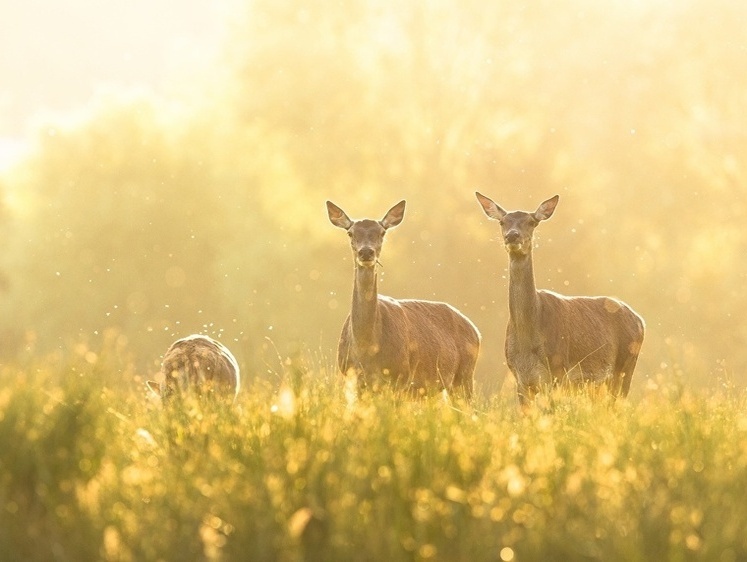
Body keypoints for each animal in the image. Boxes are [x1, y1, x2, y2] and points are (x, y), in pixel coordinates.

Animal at [328, 198, 482, 398]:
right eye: (350, 233)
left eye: (382, 232)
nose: (366, 252)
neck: (366, 348)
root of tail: (476, 331)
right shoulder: (353, 377)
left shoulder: (400, 376)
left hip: (464, 376)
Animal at [476, 192, 644, 406]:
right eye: (502, 222)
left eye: (532, 222)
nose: (512, 235)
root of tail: (640, 320)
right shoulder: (521, 380)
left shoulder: (557, 372)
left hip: (624, 368)